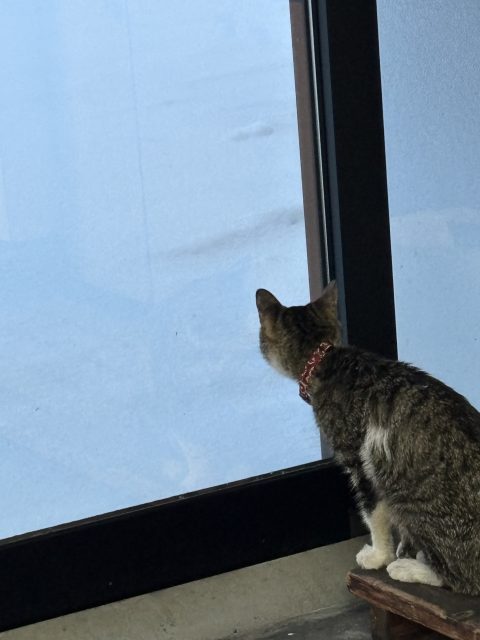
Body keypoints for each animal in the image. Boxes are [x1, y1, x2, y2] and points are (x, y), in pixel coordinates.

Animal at [256, 280, 480, 595]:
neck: (326, 359)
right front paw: (404, 548)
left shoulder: (359, 460)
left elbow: (373, 513)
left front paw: (379, 556)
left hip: (409, 499)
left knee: (462, 579)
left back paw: (408, 569)